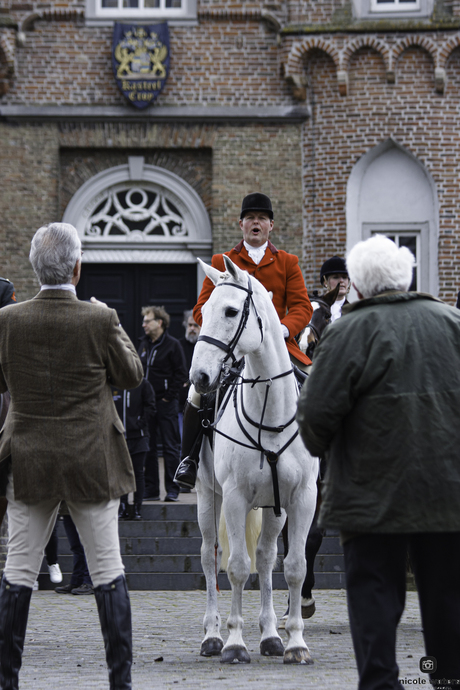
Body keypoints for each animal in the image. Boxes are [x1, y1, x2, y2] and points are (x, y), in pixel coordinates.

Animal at [192, 255, 318, 664]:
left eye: (231, 311)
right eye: (203, 312)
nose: (200, 377)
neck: (271, 415)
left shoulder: (301, 499)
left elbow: (293, 567)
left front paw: (294, 642)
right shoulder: (233, 498)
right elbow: (235, 567)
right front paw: (233, 642)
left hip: (273, 509)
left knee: (265, 557)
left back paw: (270, 635)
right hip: (207, 496)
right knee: (209, 555)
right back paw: (213, 634)